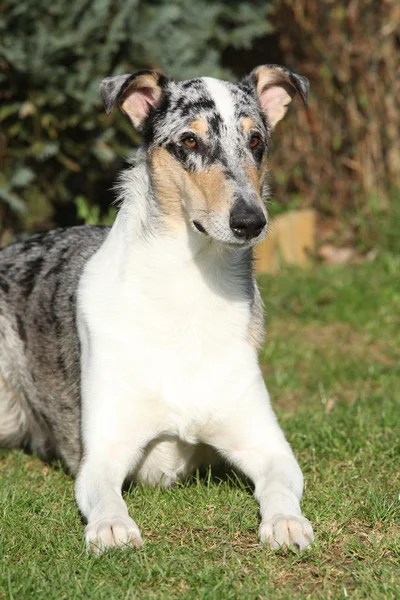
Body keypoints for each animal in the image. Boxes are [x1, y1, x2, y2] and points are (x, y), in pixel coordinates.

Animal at [0, 65, 316, 552]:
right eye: (189, 140)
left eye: (256, 140)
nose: (250, 221)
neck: (188, 290)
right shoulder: (103, 453)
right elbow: (106, 495)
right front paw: (112, 527)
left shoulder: (268, 446)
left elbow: (280, 484)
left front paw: (286, 521)